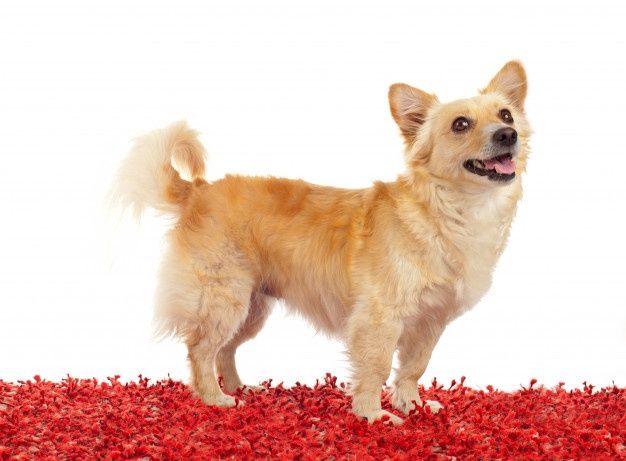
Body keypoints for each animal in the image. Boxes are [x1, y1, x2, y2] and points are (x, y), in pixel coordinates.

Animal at [111, 61, 528, 424]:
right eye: (461, 124)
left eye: (506, 115)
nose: (508, 135)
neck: (450, 211)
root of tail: (198, 190)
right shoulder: (378, 320)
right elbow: (375, 368)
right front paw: (373, 414)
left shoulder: (431, 321)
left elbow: (413, 366)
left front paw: (413, 404)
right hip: (224, 299)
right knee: (200, 349)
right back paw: (214, 397)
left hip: (250, 307)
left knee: (224, 349)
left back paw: (238, 388)